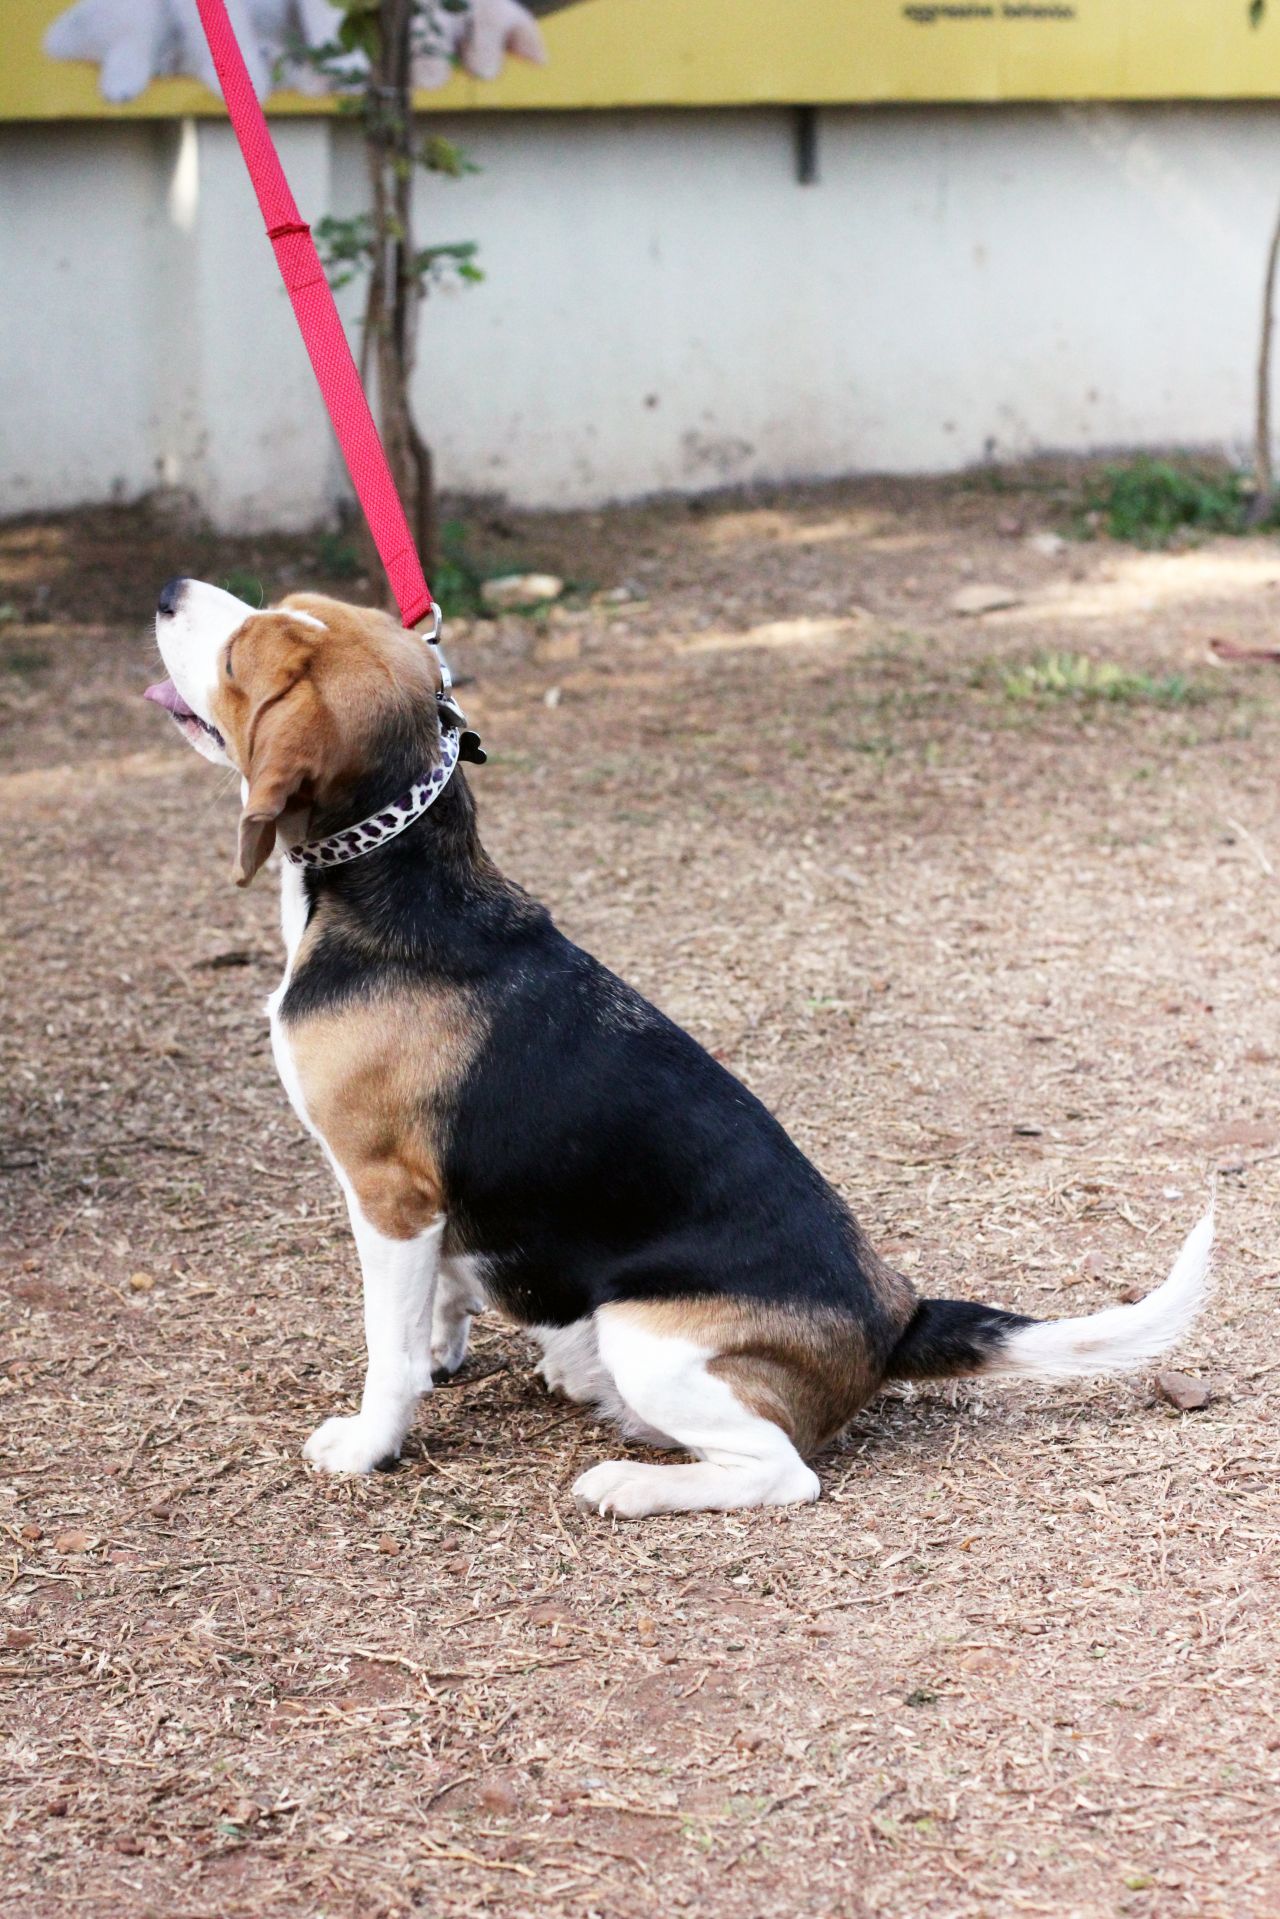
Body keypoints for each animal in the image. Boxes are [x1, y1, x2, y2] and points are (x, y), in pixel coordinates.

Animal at [144, 583, 1220, 1512]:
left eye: (240, 656)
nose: (167, 590)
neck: (402, 874)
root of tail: (897, 1316)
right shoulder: (432, 1211)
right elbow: (440, 1303)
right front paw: (447, 1350)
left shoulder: (388, 1192)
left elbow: (388, 1345)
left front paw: (371, 1443)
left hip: (646, 1333)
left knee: (783, 1472)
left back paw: (630, 1482)